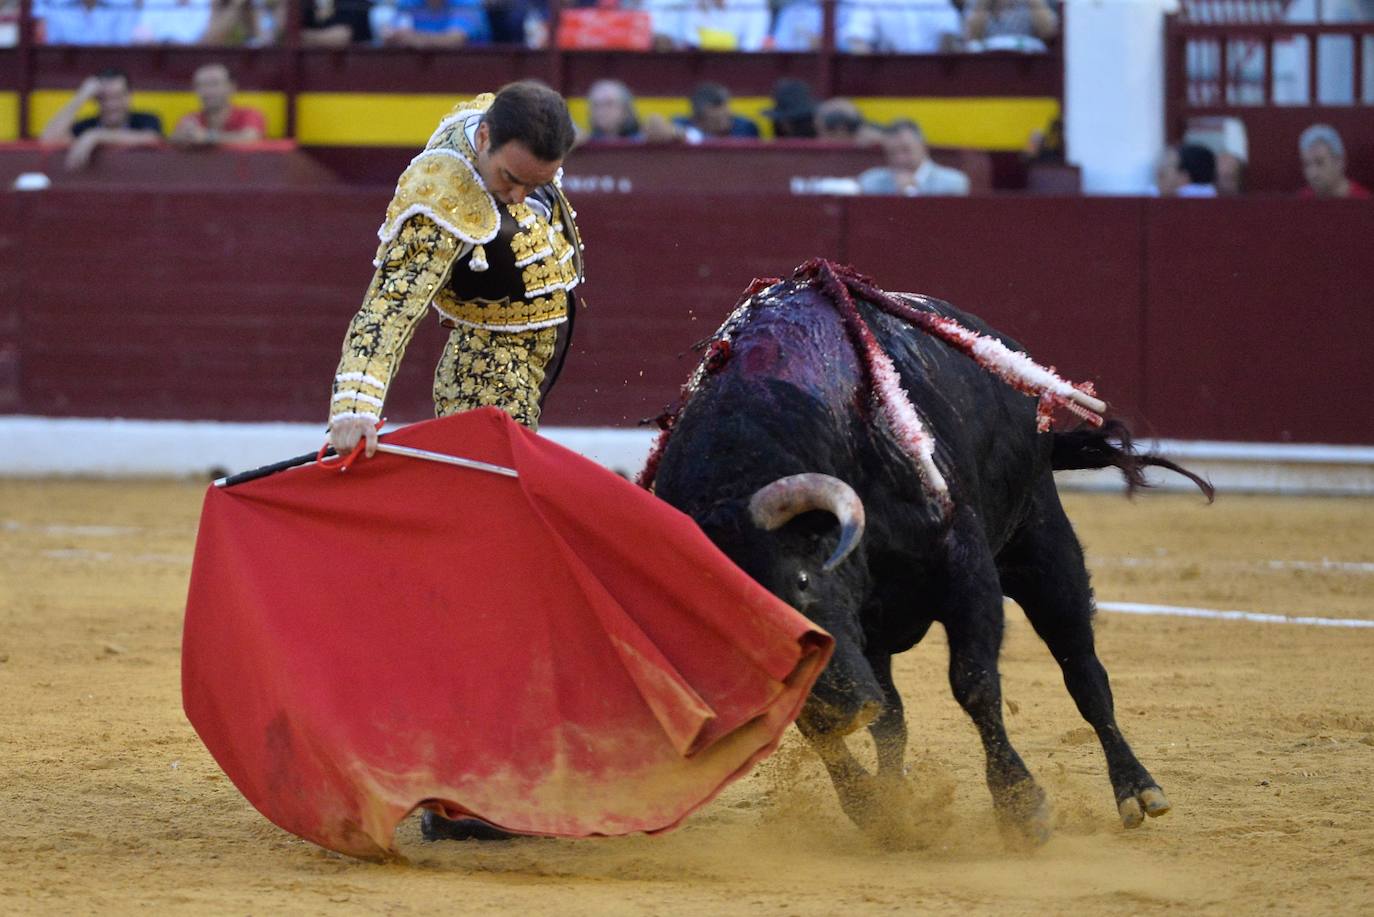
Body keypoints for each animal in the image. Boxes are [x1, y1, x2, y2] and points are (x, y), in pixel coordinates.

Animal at [645, 259, 1214, 846]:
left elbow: (974, 683)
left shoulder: (964, 566)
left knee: (1082, 669)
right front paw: (877, 808)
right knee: (892, 716)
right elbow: (841, 725)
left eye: (801, 581)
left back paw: (1137, 790)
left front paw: (1020, 805)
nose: (841, 711)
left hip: (1043, 547)